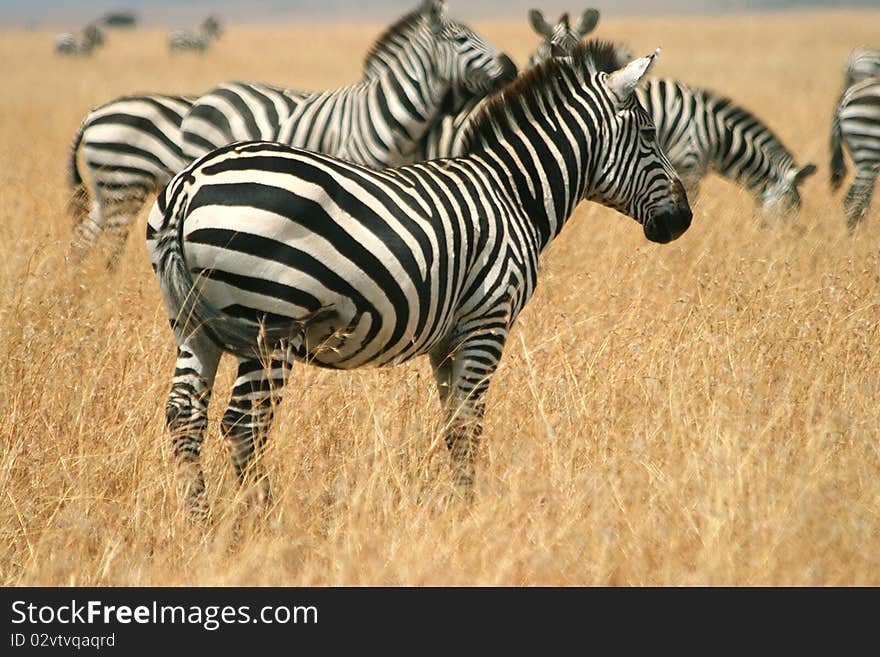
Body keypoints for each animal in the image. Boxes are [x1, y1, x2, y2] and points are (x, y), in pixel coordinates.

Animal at [146, 42, 696, 524]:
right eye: (650, 133)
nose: (684, 220)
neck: (513, 192)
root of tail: (191, 182)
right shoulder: (487, 321)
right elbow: (469, 425)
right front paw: (470, 515)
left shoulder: (447, 341)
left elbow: (452, 426)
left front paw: (458, 505)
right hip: (271, 324)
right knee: (245, 424)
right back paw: (262, 524)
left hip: (192, 324)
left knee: (185, 417)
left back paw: (201, 525)